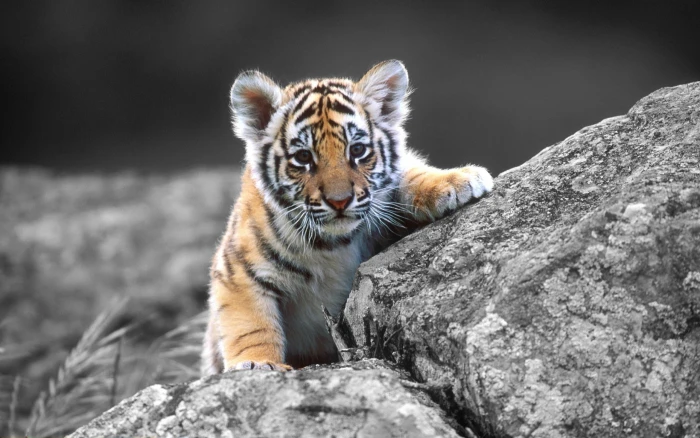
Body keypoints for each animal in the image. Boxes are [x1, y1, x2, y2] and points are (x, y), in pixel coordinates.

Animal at [202, 60, 493, 374]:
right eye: (303, 157)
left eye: (358, 150)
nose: (339, 201)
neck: (332, 245)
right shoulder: (237, 271)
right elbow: (251, 325)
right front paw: (257, 364)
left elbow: (410, 173)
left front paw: (458, 180)